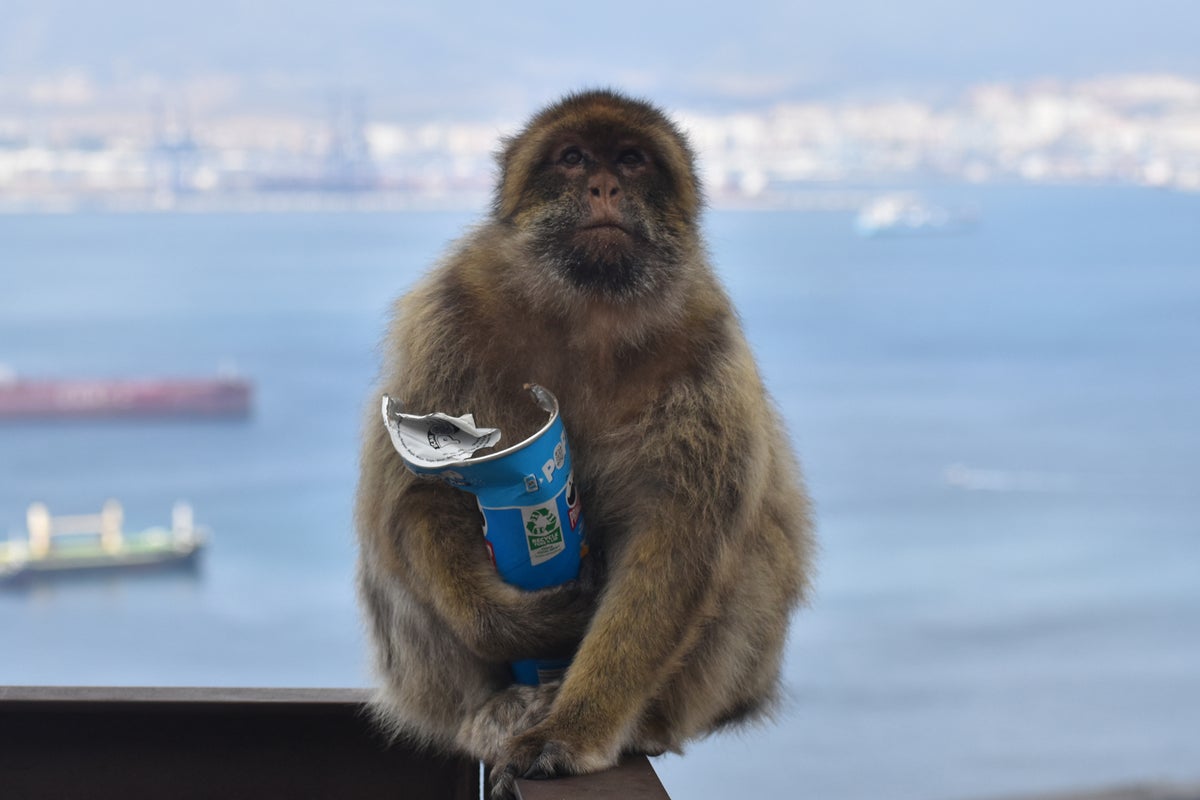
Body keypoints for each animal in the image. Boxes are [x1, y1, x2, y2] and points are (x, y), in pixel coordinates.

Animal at [355, 89, 815, 797]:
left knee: (755, 546)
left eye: (630, 160)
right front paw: (530, 623)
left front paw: (575, 732)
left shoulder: (707, 348)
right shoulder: (448, 312)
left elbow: (677, 539)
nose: (603, 186)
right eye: (572, 159)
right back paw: (495, 709)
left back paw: (639, 722)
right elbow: (417, 496)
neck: (589, 311)